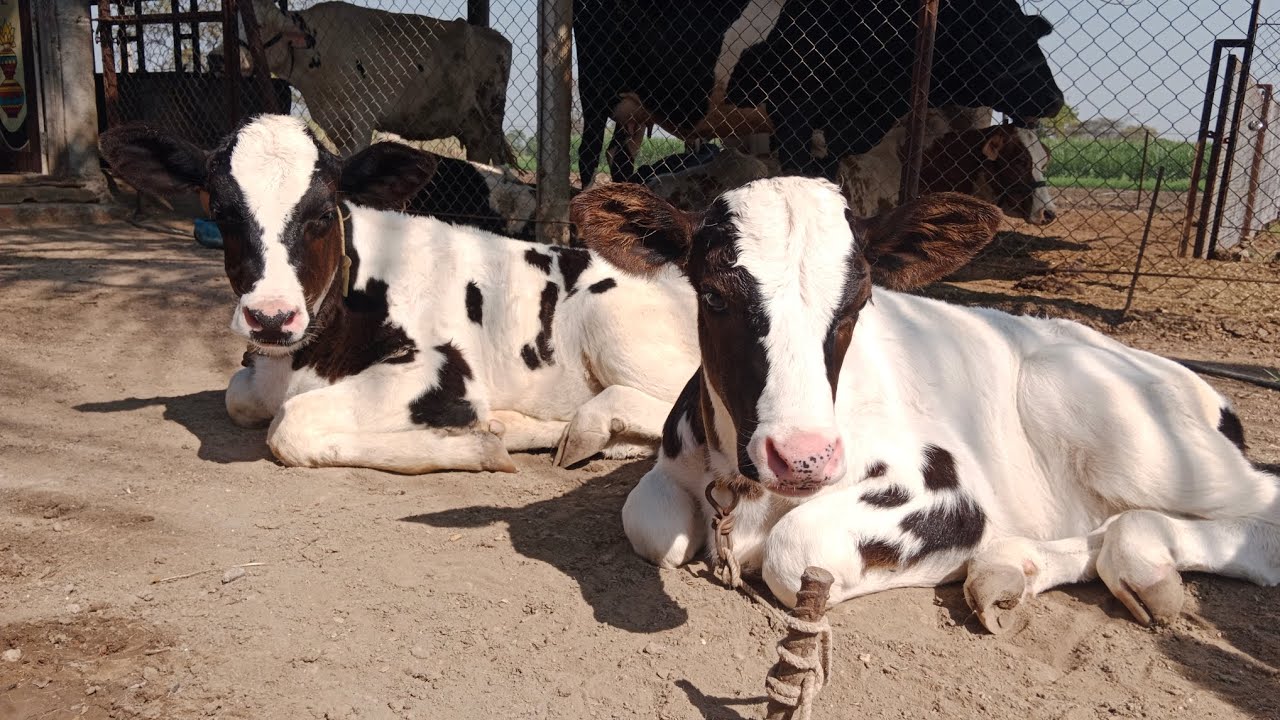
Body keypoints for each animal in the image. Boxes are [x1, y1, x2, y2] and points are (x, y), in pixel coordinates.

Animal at [99, 115, 699, 474]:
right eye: (221, 212)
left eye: (324, 213)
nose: (271, 317)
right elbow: (240, 398)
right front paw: (491, 433)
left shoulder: (442, 371)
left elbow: (288, 425)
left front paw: (472, 444)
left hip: (612, 323)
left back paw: (580, 427)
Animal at [213, 0, 515, 164]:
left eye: (258, 26)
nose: (216, 57)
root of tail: (497, 37)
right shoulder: (333, 121)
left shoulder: (361, 118)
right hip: (473, 128)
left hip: (491, 116)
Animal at [571, 177, 1280, 634]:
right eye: (715, 296)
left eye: (858, 300)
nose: (802, 457)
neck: (746, 494)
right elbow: (649, 524)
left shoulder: (948, 492)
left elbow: (793, 551)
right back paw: (1009, 569)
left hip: (1094, 408)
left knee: (1254, 509)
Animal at [575, 0, 1063, 185]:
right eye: (999, 38)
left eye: (1030, 36)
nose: (1054, 100)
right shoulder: (792, 113)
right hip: (597, 90)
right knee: (588, 154)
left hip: (635, 108)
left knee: (621, 160)